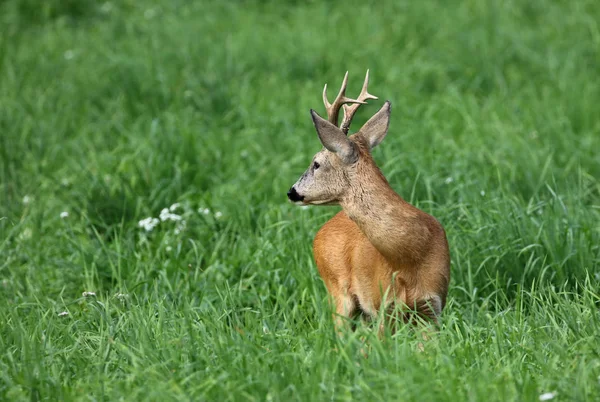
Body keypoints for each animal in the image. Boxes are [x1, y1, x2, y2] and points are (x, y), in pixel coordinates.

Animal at [286, 71, 450, 330]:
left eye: (316, 163)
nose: (291, 191)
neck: (411, 255)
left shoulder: (432, 307)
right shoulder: (382, 305)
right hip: (338, 291)